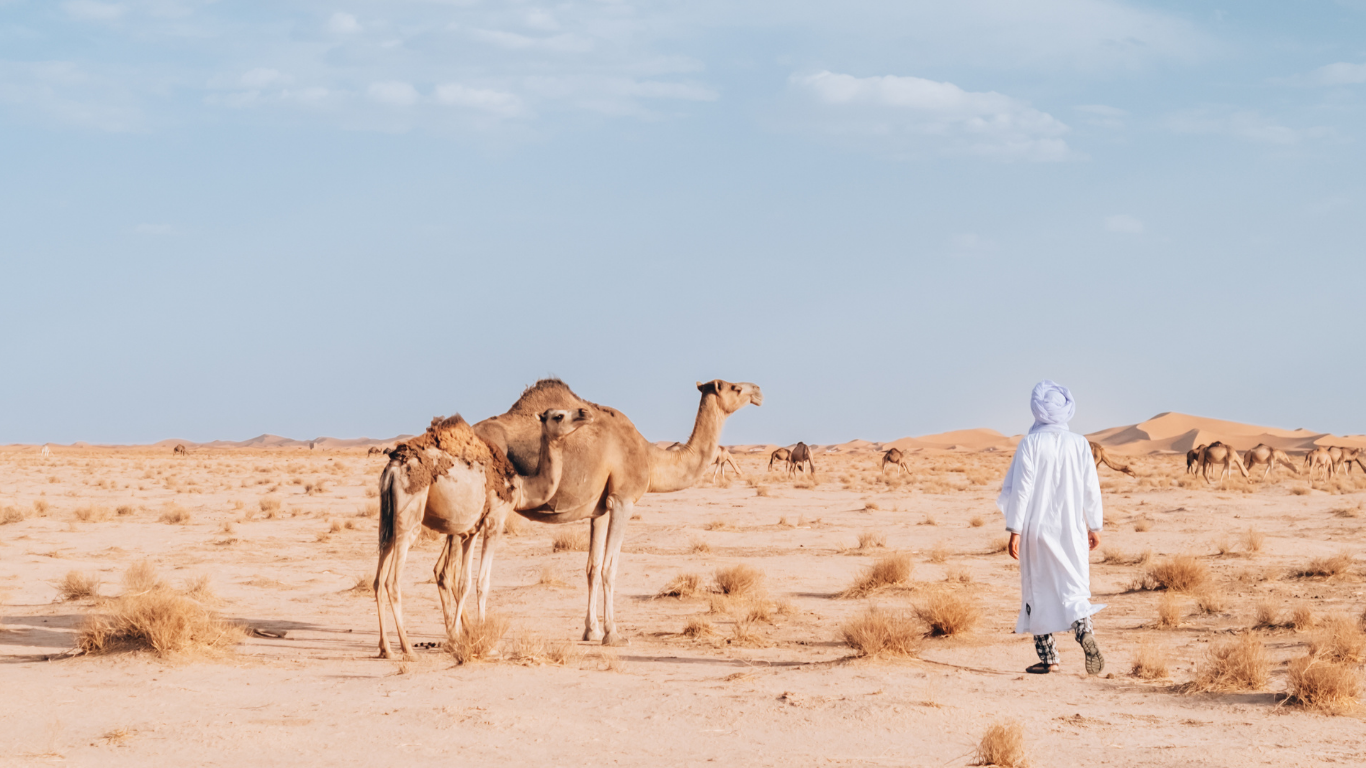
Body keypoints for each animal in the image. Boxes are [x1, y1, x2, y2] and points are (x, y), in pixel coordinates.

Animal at [374, 407, 593, 659]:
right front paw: (483, 641)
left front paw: (461, 634)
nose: (585, 412)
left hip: (387, 520)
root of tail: (393, 469)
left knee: (379, 578)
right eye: (558, 416)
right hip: (409, 516)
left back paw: (386, 648)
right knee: (392, 580)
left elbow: (463, 582)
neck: (520, 488)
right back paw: (408, 647)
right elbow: (482, 582)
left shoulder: (471, 531)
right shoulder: (494, 521)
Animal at [474, 378, 762, 645]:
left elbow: (592, 567)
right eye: (735, 387)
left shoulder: (599, 509)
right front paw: (612, 634)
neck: (650, 458)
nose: (758, 391)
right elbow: (609, 568)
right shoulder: (623, 500)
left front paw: (591, 631)